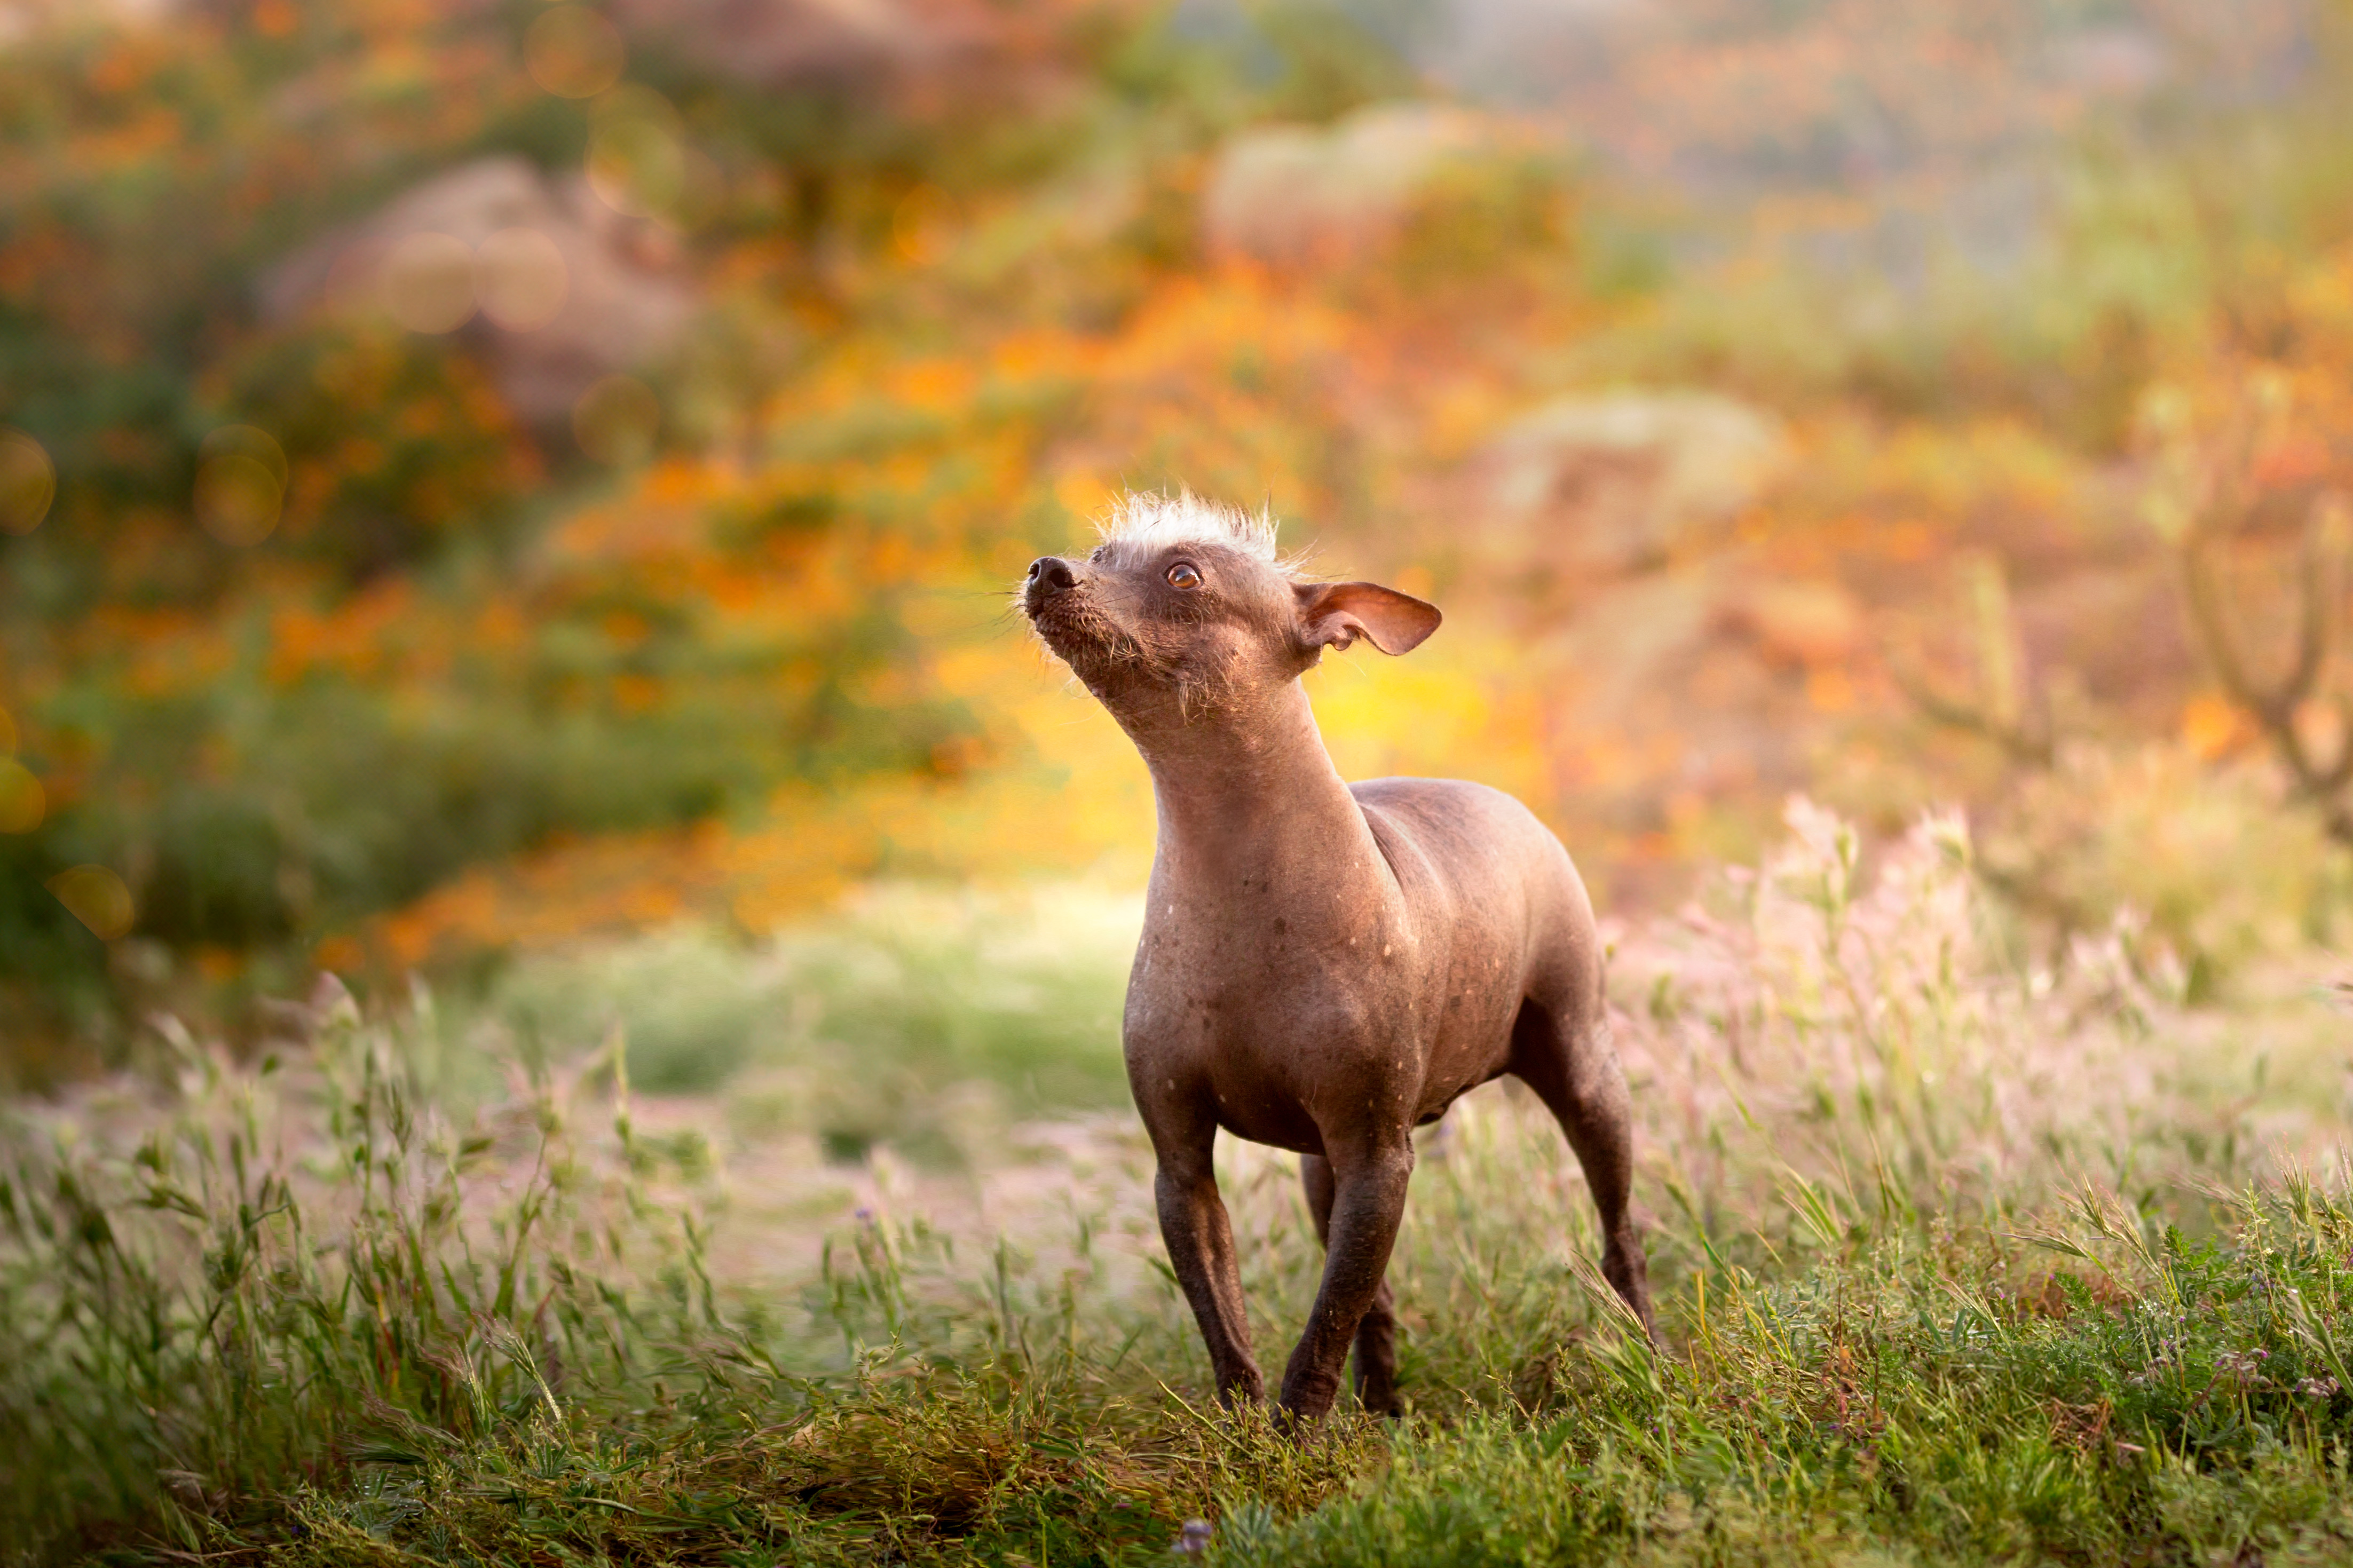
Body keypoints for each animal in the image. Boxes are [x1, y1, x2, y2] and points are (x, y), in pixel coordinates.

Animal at [1016, 494, 1656, 1420]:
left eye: (1183, 574)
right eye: (1103, 557)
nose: (1047, 569)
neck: (1231, 862)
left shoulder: (1378, 1156)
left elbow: (1322, 1329)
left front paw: (1297, 1436)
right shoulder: (1183, 1165)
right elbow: (1237, 1322)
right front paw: (1248, 1433)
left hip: (1583, 1071)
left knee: (1619, 1230)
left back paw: (1654, 1351)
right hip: (1323, 1165)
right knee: (1373, 1300)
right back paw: (1384, 1408)